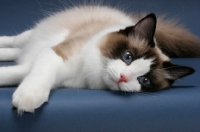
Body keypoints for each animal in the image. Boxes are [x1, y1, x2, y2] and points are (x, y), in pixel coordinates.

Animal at [0, 5, 200, 114]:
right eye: (128, 57)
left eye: (144, 80)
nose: (123, 77)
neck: (89, 72)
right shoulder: (56, 55)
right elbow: (37, 74)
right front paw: (28, 97)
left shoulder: (47, 72)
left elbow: (14, 74)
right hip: (31, 37)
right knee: (15, 42)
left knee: (17, 53)